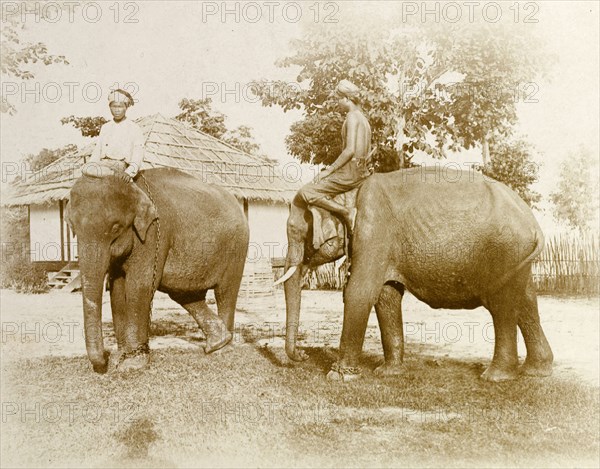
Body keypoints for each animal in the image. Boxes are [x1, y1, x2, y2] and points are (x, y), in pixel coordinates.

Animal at [67, 166, 248, 372]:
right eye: (72, 227)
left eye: (116, 228)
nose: (104, 360)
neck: (134, 188)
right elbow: (117, 290)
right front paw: (121, 358)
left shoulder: (153, 235)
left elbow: (139, 286)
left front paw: (132, 364)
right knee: (185, 294)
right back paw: (219, 342)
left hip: (236, 248)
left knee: (225, 293)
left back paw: (224, 348)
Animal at [282, 166, 552, 382]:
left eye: (295, 231)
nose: (302, 355)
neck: (348, 191)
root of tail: (535, 224)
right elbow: (386, 296)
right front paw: (387, 373)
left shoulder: (372, 230)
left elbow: (360, 293)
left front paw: (337, 376)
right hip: (519, 259)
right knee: (526, 302)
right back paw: (536, 371)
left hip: (505, 252)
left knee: (502, 307)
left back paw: (494, 377)